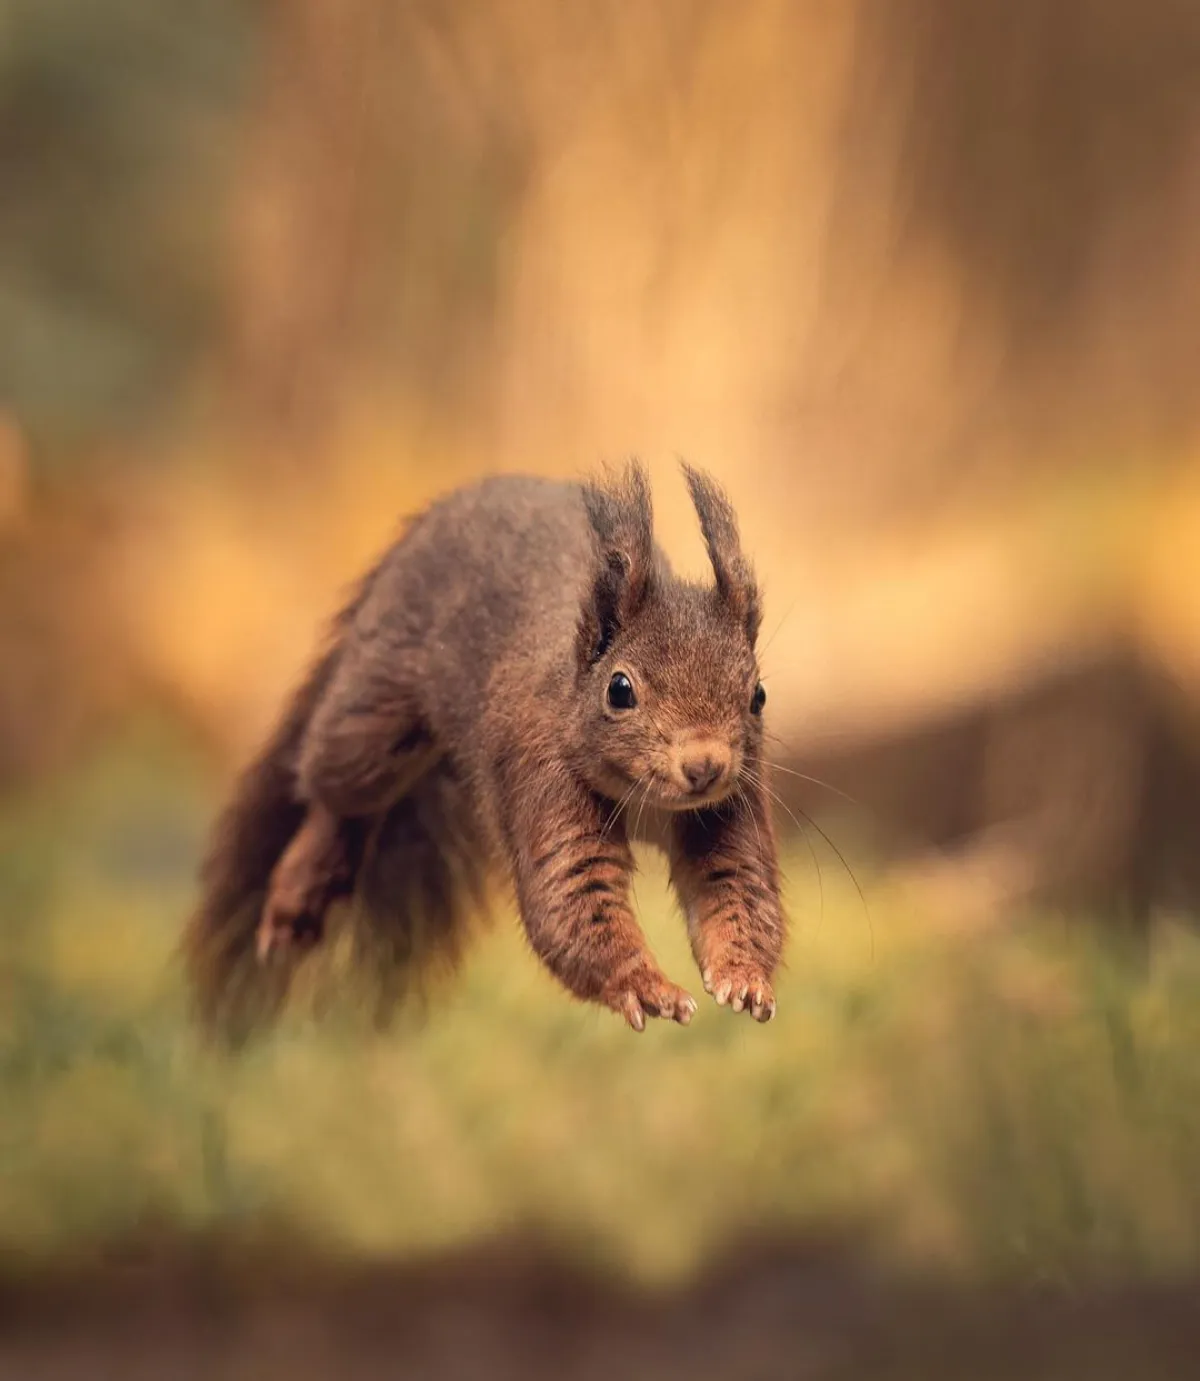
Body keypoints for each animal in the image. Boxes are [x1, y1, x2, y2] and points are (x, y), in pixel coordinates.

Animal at [182, 458, 784, 1038]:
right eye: (619, 689)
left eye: (758, 694)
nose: (705, 765)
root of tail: (428, 519)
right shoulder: (543, 776)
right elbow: (574, 898)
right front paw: (646, 987)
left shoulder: (731, 802)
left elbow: (738, 887)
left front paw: (744, 978)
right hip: (374, 713)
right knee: (336, 795)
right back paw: (298, 893)